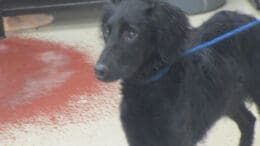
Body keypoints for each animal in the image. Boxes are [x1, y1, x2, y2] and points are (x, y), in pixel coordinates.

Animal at [95, 0, 260, 145]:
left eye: (131, 33)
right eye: (106, 31)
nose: (98, 70)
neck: (147, 88)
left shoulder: (177, 137)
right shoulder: (136, 137)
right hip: (227, 98)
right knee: (248, 121)